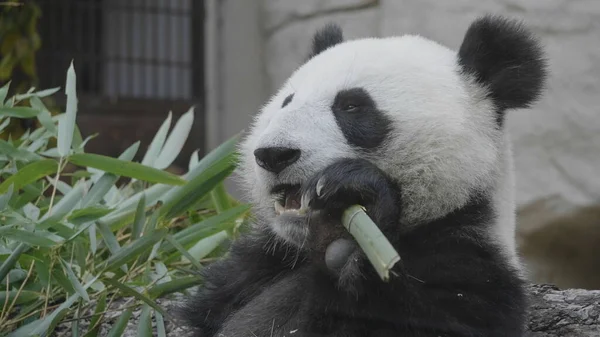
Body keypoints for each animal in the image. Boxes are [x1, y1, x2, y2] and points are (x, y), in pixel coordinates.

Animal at [180, 13, 548, 336]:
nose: (274, 154)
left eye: (352, 106)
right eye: (287, 101)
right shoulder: (254, 269)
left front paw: (356, 197)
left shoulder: (465, 270)